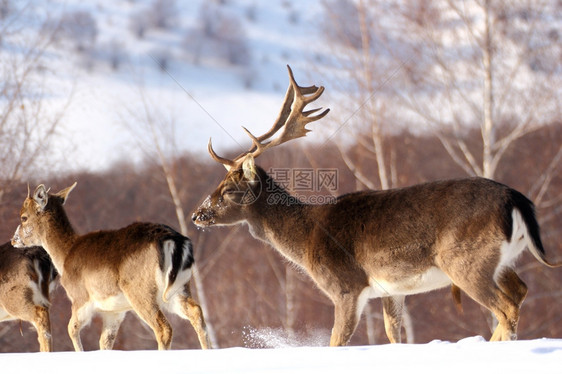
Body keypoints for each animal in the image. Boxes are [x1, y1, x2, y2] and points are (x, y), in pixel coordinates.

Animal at [12, 184, 210, 350]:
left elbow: (71, 329)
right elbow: (104, 342)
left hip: (140, 290)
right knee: (196, 312)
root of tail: (174, 241)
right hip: (179, 288)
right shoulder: (115, 311)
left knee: (163, 328)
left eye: (23, 217)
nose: (14, 240)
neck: (65, 256)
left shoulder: (80, 298)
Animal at [191, 65, 556, 346]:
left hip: (466, 259)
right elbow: (395, 336)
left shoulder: (346, 286)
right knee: (520, 291)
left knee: (506, 307)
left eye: (229, 189)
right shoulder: (392, 291)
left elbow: (336, 342)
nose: (197, 215)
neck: (307, 238)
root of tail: (516, 199)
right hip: (501, 259)